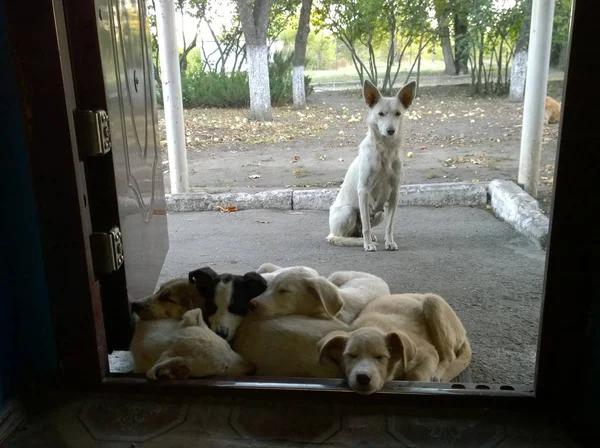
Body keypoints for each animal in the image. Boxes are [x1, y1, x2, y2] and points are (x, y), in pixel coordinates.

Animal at [316, 294, 472, 396]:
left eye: (381, 357)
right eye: (350, 356)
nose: (362, 378)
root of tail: (463, 332)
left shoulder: (428, 351)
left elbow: (415, 376)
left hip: (433, 302)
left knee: (449, 356)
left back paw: (436, 374)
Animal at [326, 79, 414, 250]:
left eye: (398, 113)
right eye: (380, 114)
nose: (390, 130)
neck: (385, 151)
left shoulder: (395, 194)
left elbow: (390, 225)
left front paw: (389, 242)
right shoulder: (364, 191)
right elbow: (366, 225)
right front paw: (367, 245)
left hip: (380, 213)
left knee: (360, 231)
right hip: (348, 212)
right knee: (343, 236)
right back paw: (360, 241)